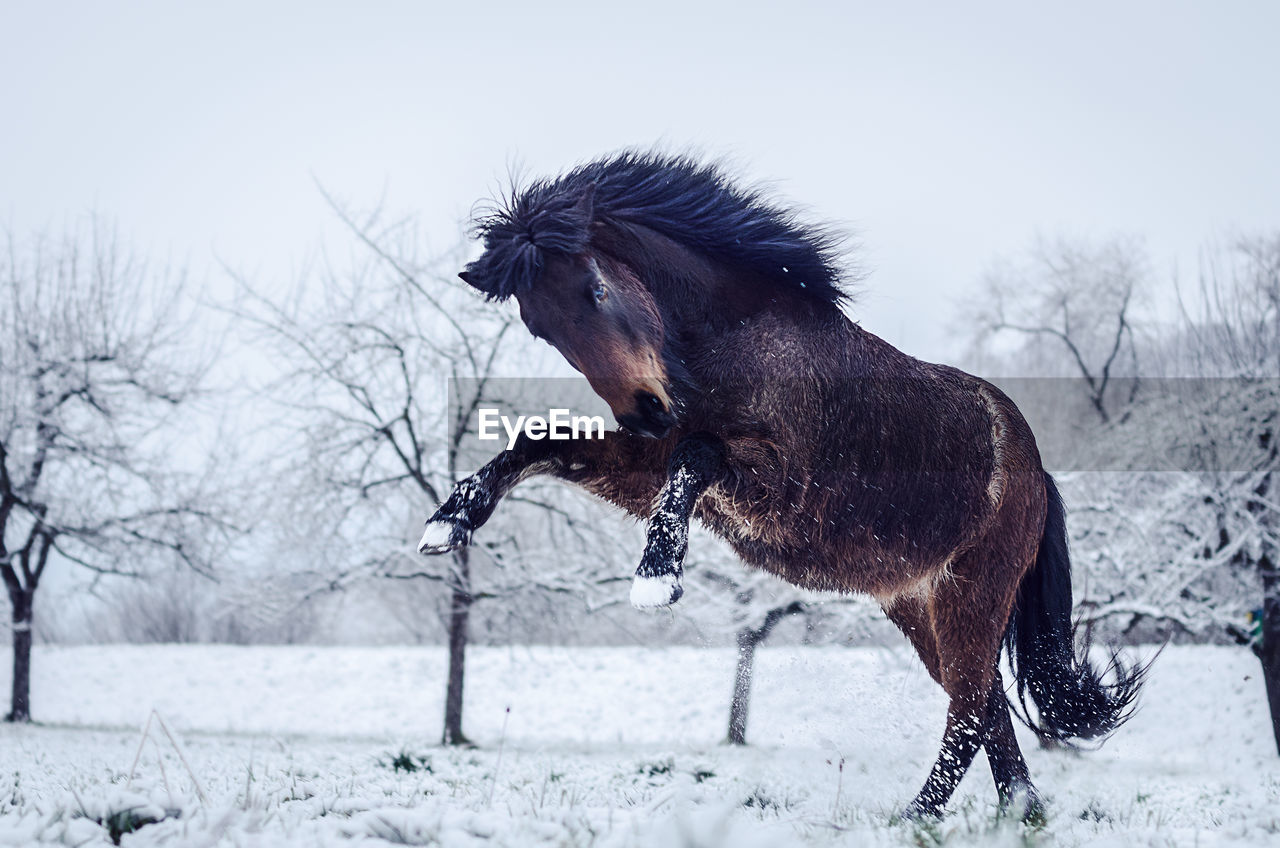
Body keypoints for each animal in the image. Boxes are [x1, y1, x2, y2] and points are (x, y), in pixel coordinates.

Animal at [414, 153, 1146, 824]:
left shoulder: (773, 487)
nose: (647, 410)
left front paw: (657, 577)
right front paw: (449, 521)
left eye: (595, 289)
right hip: (919, 605)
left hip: (974, 594)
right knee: (987, 703)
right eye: (539, 324)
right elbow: (543, 443)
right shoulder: (648, 466)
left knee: (969, 710)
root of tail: (1037, 472)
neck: (739, 345)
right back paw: (1018, 814)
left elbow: (695, 456)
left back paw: (914, 818)